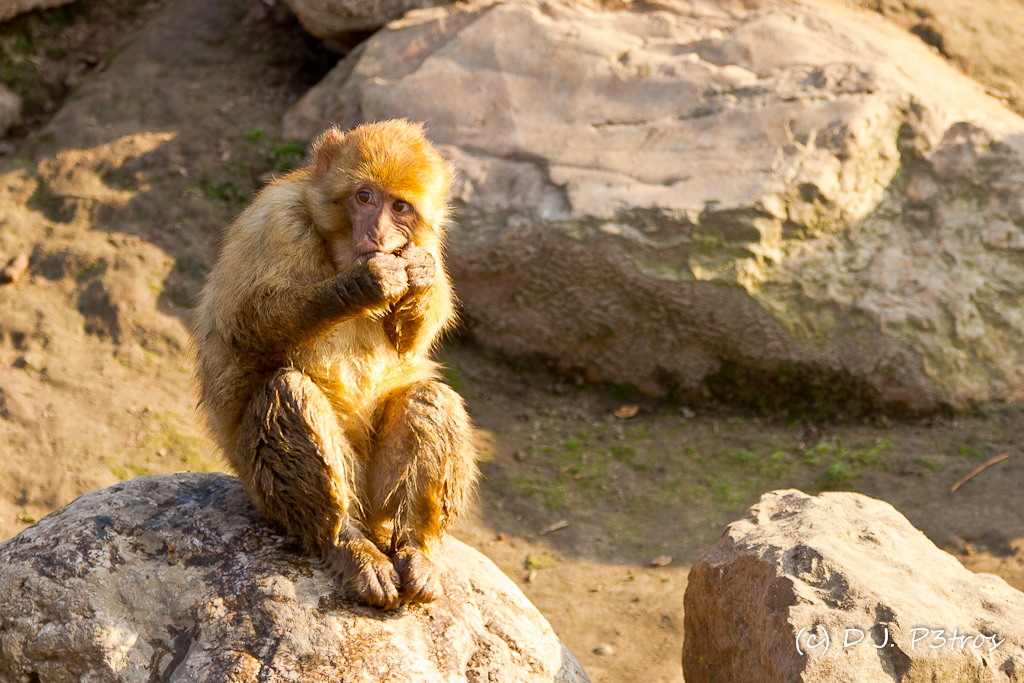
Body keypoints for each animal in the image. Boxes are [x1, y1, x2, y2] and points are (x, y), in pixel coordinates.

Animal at [191, 120, 477, 610]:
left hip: (379, 500)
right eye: (364, 197)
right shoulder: (276, 222)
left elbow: (411, 341)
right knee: (287, 391)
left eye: (400, 207)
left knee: (429, 397)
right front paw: (361, 284)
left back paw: (416, 548)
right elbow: (245, 326)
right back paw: (346, 544)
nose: (378, 235)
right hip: (262, 487)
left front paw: (419, 277)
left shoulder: (427, 243)